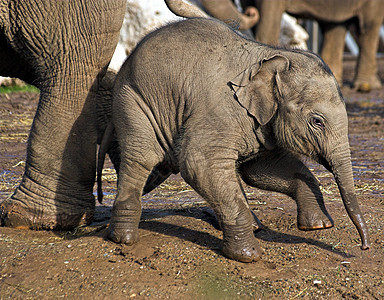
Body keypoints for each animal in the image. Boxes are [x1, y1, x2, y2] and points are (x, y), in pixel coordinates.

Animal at [97, 17, 370, 262]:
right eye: (317, 121)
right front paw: (248, 255)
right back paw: (123, 239)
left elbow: (261, 169)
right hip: (134, 102)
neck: (272, 56)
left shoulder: (260, 122)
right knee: (142, 158)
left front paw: (319, 226)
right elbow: (199, 164)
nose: (364, 247)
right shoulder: (220, 110)